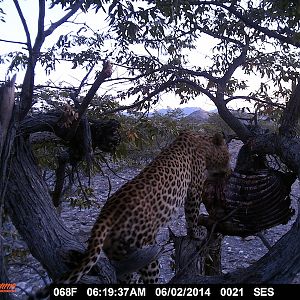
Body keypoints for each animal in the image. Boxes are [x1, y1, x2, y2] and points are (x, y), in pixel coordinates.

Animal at [31, 131, 230, 298]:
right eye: (227, 155)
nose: (229, 170)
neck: (203, 143)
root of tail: (106, 213)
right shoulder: (194, 189)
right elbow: (192, 215)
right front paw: (196, 232)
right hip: (145, 250)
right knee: (149, 278)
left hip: (121, 254)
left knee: (125, 279)